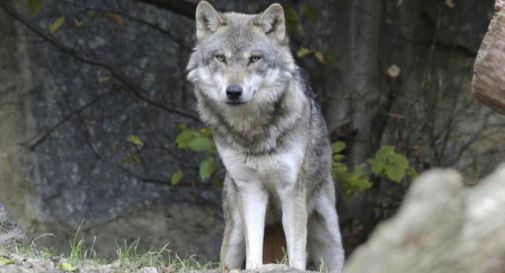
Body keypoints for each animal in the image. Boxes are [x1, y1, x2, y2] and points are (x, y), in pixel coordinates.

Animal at [187, 1, 344, 270]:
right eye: (221, 57)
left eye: (254, 58)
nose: (233, 92)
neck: (252, 133)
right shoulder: (250, 190)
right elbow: (254, 250)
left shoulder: (291, 192)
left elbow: (296, 253)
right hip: (233, 239)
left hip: (331, 244)